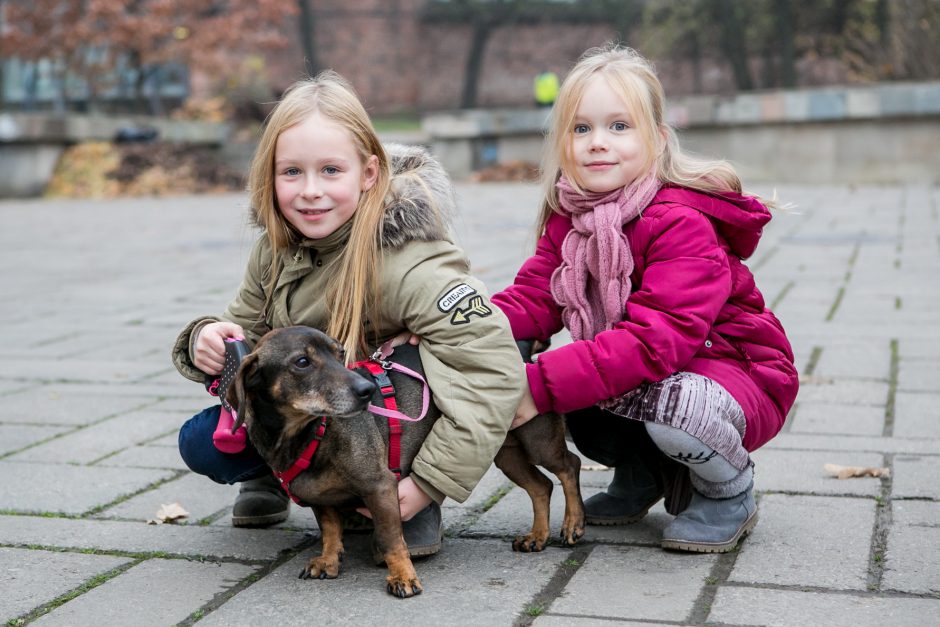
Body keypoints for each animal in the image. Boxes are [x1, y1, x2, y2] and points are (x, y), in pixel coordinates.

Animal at [226, 328, 580, 600]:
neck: (308, 434)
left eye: (340, 354)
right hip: (505, 453)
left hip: (536, 438)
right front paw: (328, 560)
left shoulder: (380, 487)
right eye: (302, 362)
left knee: (569, 465)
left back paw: (573, 524)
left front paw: (403, 578)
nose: (366, 390)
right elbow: (330, 529)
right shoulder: (318, 496)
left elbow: (392, 539)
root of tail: (519, 349)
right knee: (540, 485)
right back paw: (537, 536)